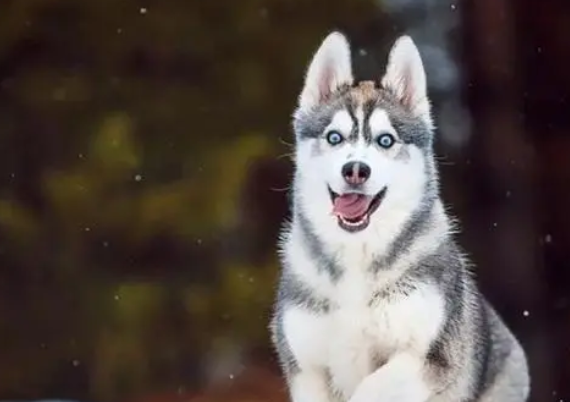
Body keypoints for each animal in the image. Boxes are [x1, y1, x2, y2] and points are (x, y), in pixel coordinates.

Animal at [270, 32, 528, 402]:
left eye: (385, 140)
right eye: (334, 137)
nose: (356, 170)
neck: (357, 256)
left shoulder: (429, 359)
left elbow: (371, 388)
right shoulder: (307, 370)